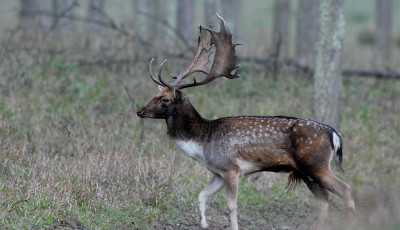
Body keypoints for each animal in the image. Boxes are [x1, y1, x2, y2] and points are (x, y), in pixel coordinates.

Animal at [136, 14, 354, 230]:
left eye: (165, 99)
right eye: (156, 94)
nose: (140, 111)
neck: (203, 144)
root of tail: (334, 134)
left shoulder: (231, 168)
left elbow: (232, 206)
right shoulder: (218, 173)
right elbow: (201, 195)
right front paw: (204, 223)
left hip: (316, 164)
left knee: (346, 189)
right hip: (306, 172)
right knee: (325, 200)